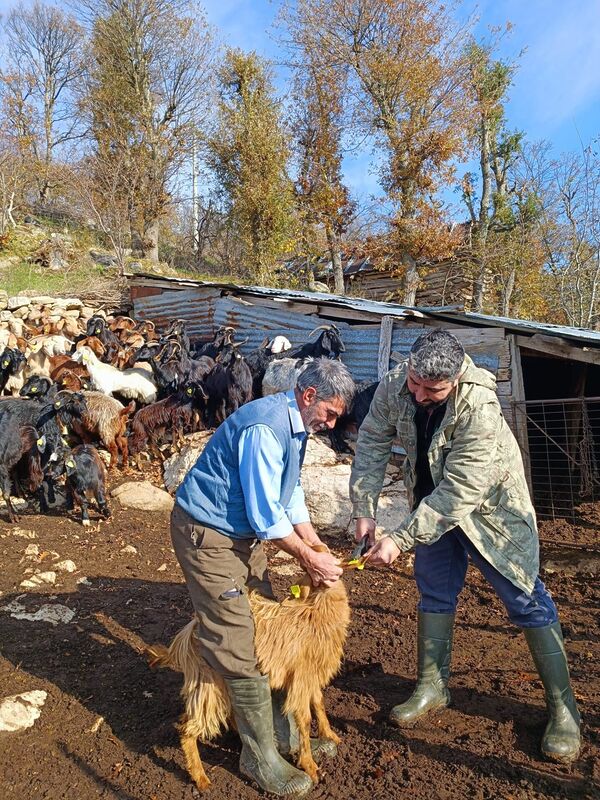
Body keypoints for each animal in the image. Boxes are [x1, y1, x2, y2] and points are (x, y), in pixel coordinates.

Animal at [146, 560, 352, 792]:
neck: (315, 612)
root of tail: (184, 638)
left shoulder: (310, 676)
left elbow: (318, 703)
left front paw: (330, 736)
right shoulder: (301, 678)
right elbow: (305, 719)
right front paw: (310, 766)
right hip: (209, 682)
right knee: (188, 728)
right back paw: (201, 778)